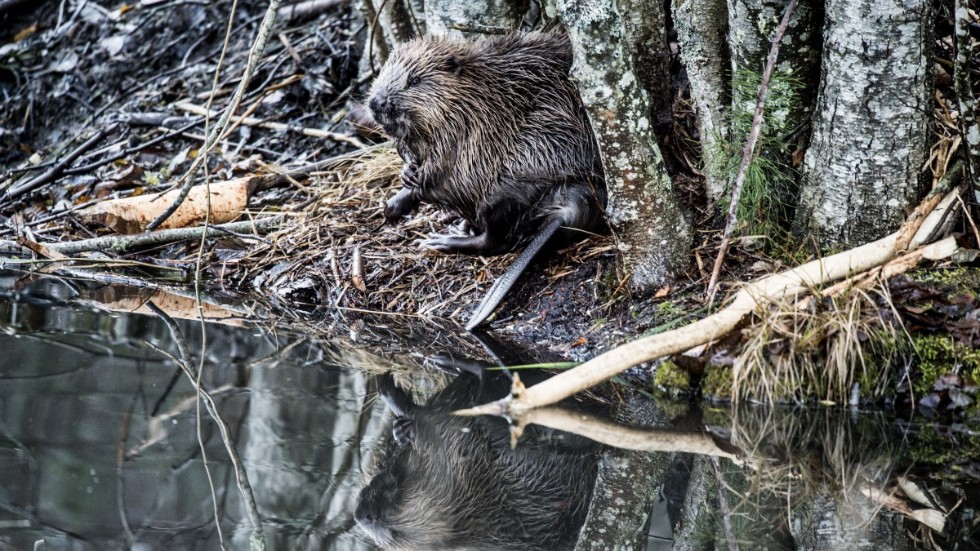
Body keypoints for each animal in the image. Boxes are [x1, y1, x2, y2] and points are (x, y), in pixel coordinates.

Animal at [366, 32, 604, 330]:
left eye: (415, 80)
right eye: (384, 71)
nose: (377, 102)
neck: (478, 92)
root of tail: (570, 209)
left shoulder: (466, 127)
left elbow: (443, 166)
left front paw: (414, 180)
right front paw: (400, 189)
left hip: (505, 193)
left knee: (496, 240)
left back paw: (442, 240)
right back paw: (456, 224)